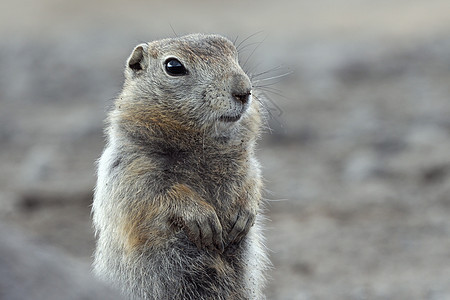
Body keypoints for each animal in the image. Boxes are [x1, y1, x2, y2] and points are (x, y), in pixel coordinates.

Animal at [91, 33, 268, 300]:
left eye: (232, 51)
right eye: (173, 66)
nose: (244, 90)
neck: (203, 145)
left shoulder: (248, 164)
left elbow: (253, 181)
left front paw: (244, 216)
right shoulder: (129, 168)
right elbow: (149, 194)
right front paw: (202, 218)